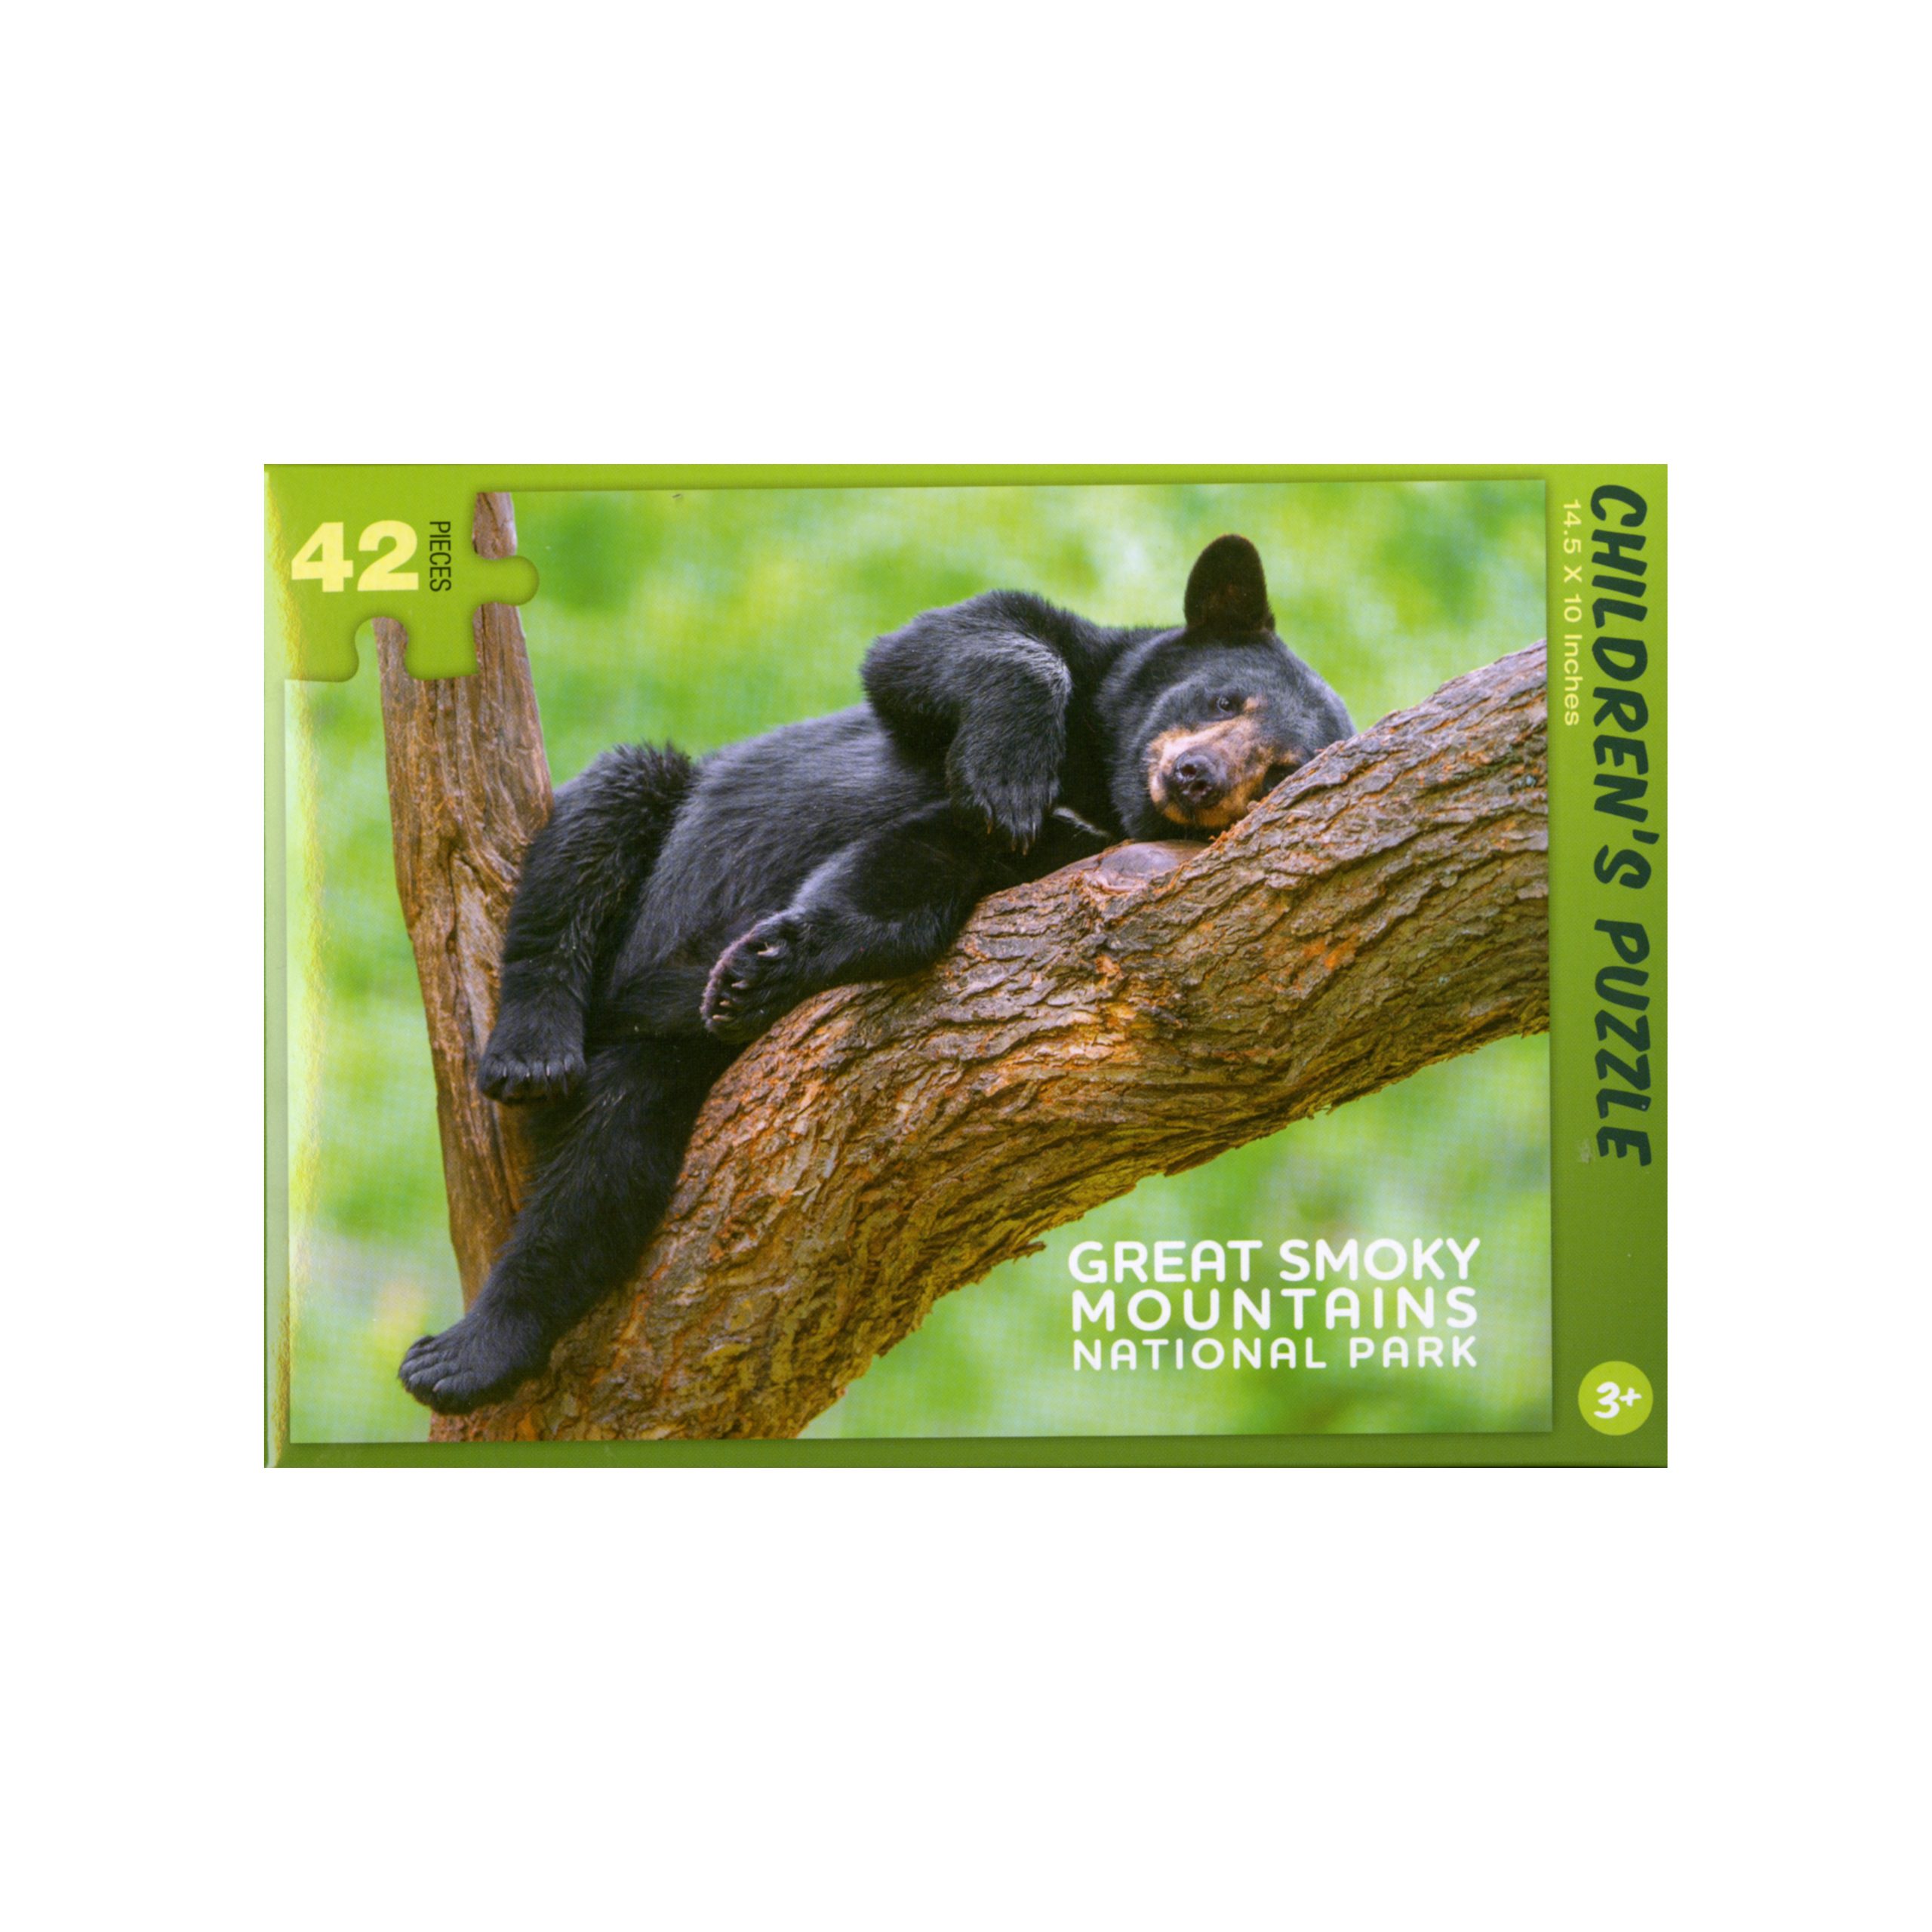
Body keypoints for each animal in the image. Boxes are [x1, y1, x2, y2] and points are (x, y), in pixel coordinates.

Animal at [399, 533, 1353, 1414]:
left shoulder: (1042, 862)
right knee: (600, 818)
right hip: (652, 825)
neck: (1102, 784)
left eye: (1280, 770)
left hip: (662, 1067)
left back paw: (466, 1353)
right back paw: (531, 1054)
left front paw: (765, 967)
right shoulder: (1077, 668)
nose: (1195, 777)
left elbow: (903, 880)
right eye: (1225, 698)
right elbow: (946, 644)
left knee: (600, 1174)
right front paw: (1005, 776)